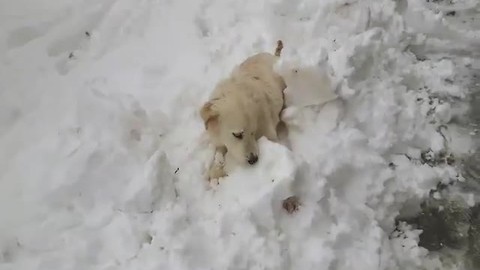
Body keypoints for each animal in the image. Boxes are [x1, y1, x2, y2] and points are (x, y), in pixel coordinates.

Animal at [199, 40, 284, 182]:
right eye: (237, 134)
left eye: (253, 132)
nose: (253, 160)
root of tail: (272, 56)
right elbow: (219, 152)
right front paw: (216, 169)